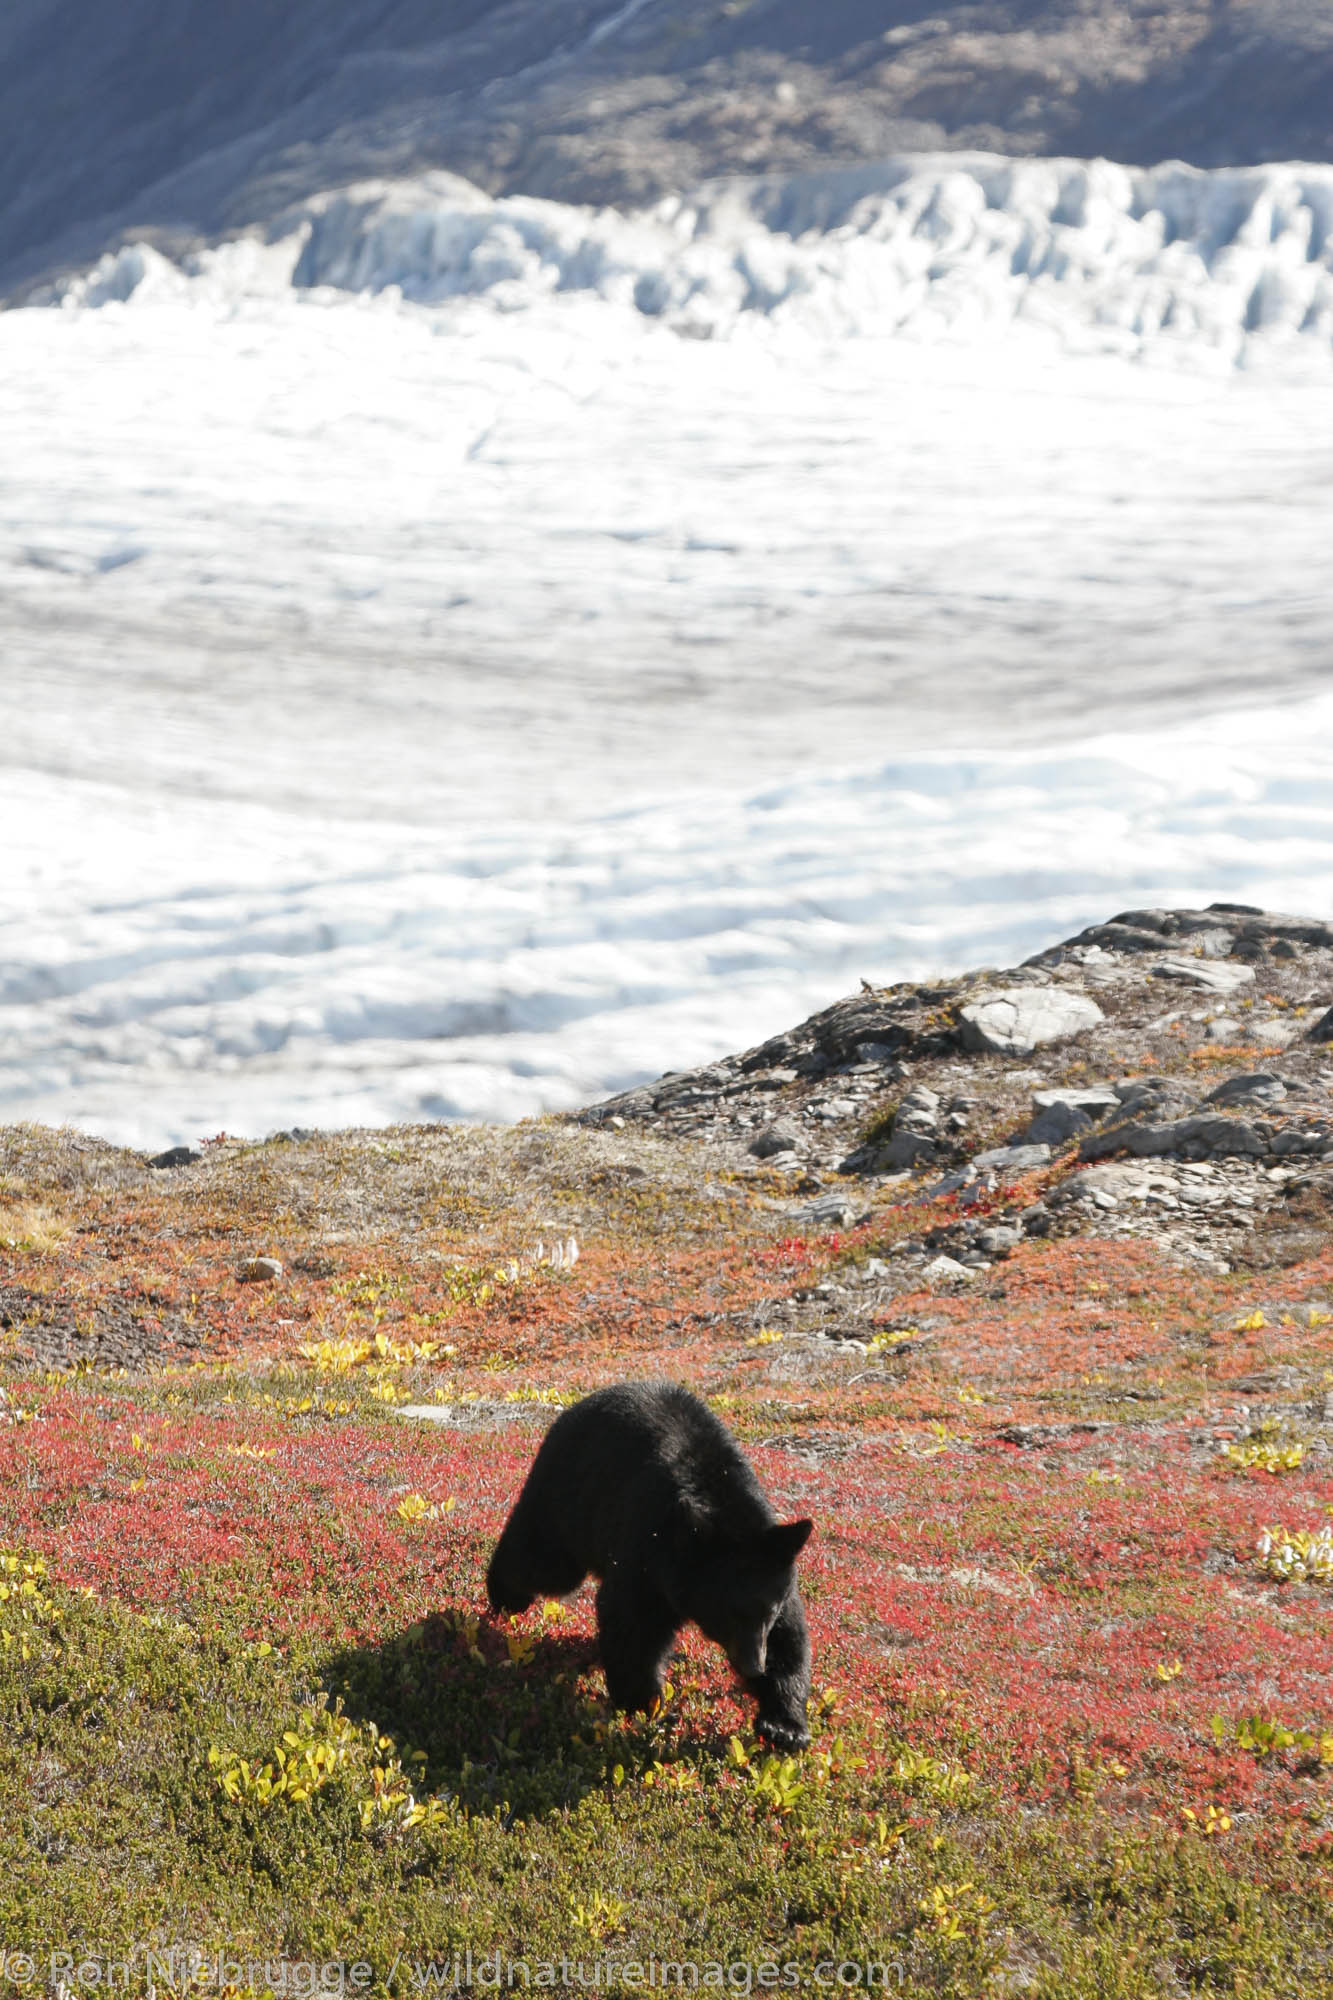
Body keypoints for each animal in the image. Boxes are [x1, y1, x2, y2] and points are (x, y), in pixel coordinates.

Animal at [486, 1384, 808, 1744]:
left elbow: (789, 1635)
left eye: (767, 1612)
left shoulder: (773, 1565)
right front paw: (646, 1705)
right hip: (569, 1497)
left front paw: (784, 1726)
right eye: (729, 1614)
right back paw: (505, 1595)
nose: (753, 1666)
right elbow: (632, 1622)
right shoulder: (650, 1545)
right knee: (544, 1561)